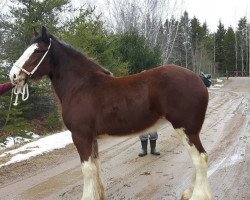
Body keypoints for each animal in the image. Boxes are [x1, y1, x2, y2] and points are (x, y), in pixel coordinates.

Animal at [9, 27, 212, 200]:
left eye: (37, 51)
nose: (13, 76)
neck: (80, 86)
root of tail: (198, 78)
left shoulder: (80, 136)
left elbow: (87, 169)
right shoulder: (92, 138)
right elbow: (96, 166)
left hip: (186, 129)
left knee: (200, 158)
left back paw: (198, 195)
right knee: (197, 159)